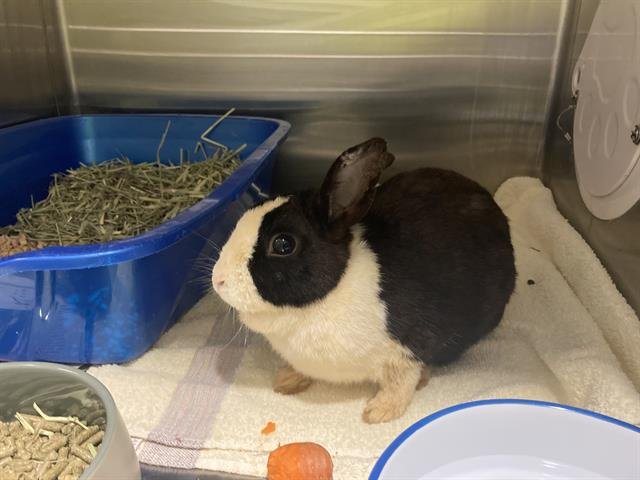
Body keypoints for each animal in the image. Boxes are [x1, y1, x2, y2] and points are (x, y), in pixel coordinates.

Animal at [211, 137, 516, 424]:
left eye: (283, 244)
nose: (218, 280)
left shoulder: (407, 350)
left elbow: (401, 383)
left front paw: (378, 413)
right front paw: (285, 381)